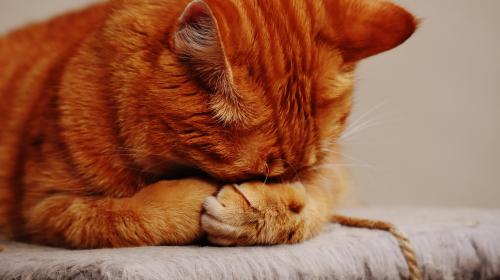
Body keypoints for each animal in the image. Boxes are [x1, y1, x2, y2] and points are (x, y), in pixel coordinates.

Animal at [0, 0, 416, 249]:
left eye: (299, 172)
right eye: (257, 173)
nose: (276, 188)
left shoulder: (332, 173)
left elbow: (313, 204)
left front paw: (266, 210)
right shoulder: (46, 207)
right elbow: (123, 215)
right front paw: (194, 200)